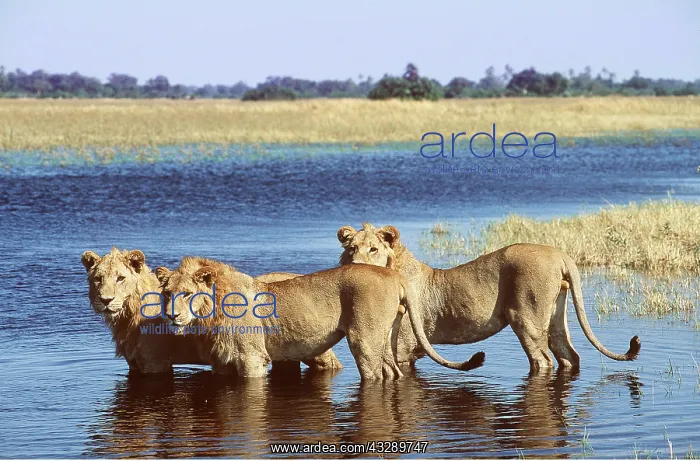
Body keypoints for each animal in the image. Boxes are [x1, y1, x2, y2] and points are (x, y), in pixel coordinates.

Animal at [155, 257, 486, 380]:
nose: (171, 315)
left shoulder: (252, 358)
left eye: (187, 294)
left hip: (364, 339)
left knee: (375, 376)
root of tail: (395, 274)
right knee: (393, 373)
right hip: (385, 337)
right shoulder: (222, 362)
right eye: (167, 293)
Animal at [337, 223, 641, 372]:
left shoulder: (402, 350)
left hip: (526, 319)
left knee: (543, 360)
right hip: (555, 315)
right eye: (352, 248)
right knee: (569, 355)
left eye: (374, 249)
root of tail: (559, 253)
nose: (355, 265)